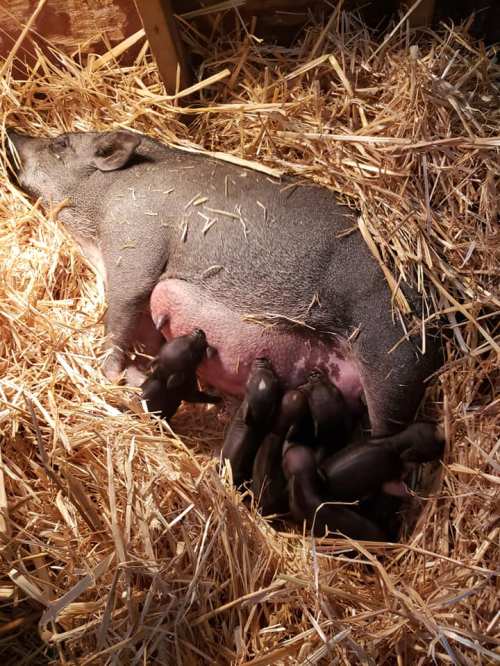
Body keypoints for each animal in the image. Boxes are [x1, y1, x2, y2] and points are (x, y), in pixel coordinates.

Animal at [6, 128, 441, 437]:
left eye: (61, 143)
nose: (11, 131)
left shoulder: (136, 249)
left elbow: (117, 327)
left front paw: (123, 379)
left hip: (392, 360)